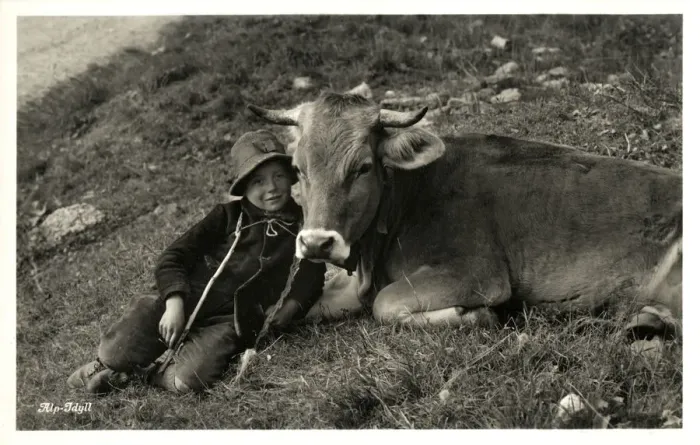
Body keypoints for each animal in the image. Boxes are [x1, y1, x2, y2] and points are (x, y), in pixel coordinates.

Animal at [247, 91, 682, 338]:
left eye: (363, 167)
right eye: (298, 168)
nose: (317, 243)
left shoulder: (476, 271)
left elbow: (385, 305)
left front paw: (473, 315)